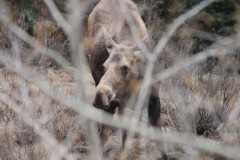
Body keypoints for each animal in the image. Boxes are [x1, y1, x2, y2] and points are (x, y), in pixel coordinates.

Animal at [87, 0, 160, 148]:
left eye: (125, 67)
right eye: (104, 65)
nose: (100, 95)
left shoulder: (155, 99)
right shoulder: (120, 104)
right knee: (104, 133)